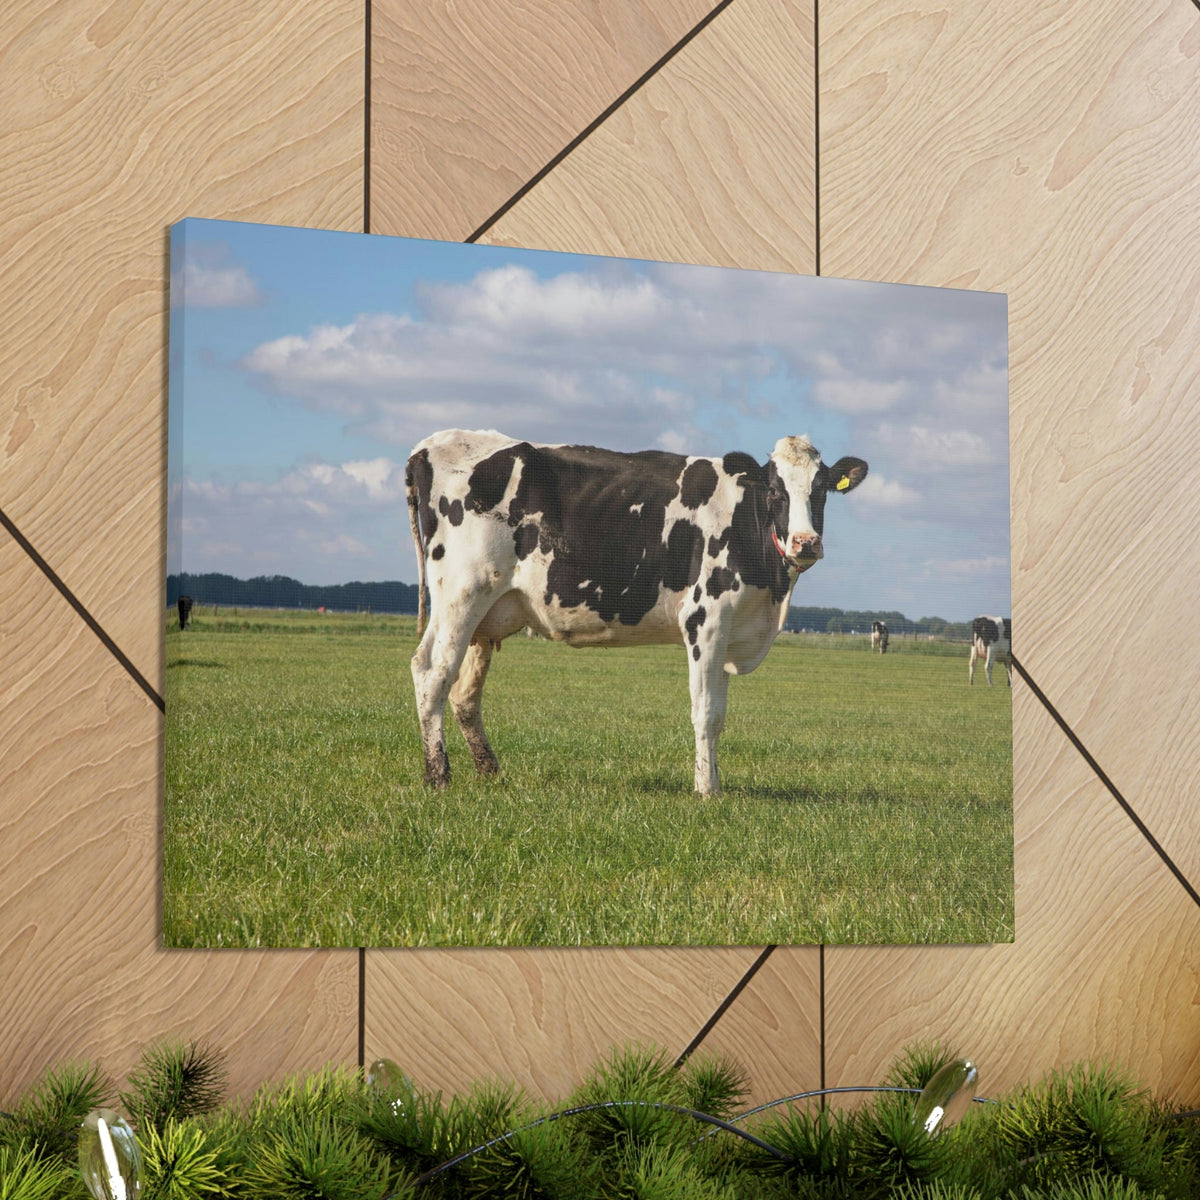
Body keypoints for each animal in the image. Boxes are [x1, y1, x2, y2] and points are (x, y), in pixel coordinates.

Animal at [405, 429, 867, 794]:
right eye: (775, 490)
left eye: (821, 489)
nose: (805, 542)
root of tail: (431, 445)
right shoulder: (705, 619)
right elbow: (705, 712)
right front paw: (707, 789)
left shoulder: (731, 627)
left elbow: (719, 713)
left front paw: (714, 782)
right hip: (461, 593)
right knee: (432, 672)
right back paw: (438, 775)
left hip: (487, 613)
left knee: (465, 692)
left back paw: (489, 771)